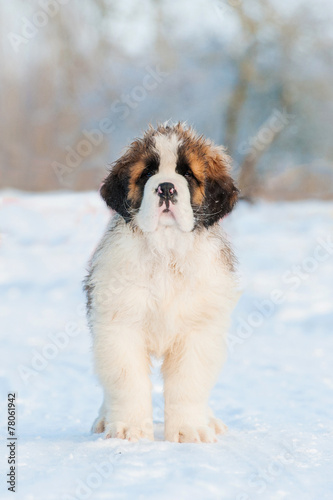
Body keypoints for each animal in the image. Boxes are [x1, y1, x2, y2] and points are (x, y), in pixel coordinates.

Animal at [84, 123, 237, 444]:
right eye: (146, 173)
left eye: (187, 174)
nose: (166, 187)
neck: (166, 251)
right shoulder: (119, 327)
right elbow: (127, 381)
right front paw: (128, 429)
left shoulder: (198, 332)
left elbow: (189, 384)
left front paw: (189, 429)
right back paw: (105, 418)